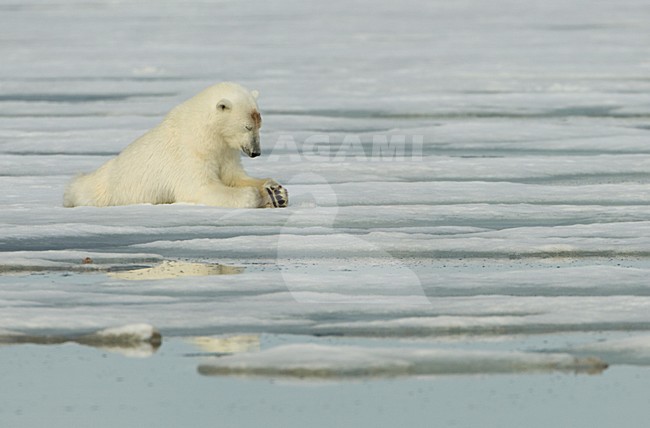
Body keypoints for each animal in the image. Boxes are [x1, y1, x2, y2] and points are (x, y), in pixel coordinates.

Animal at [63, 82, 287, 209]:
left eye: (259, 125)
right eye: (247, 126)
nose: (256, 152)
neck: (206, 133)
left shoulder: (226, 151)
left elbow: (234, 175)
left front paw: (276, 191)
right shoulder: (190, 153)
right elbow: (199, 187)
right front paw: (257, 196)